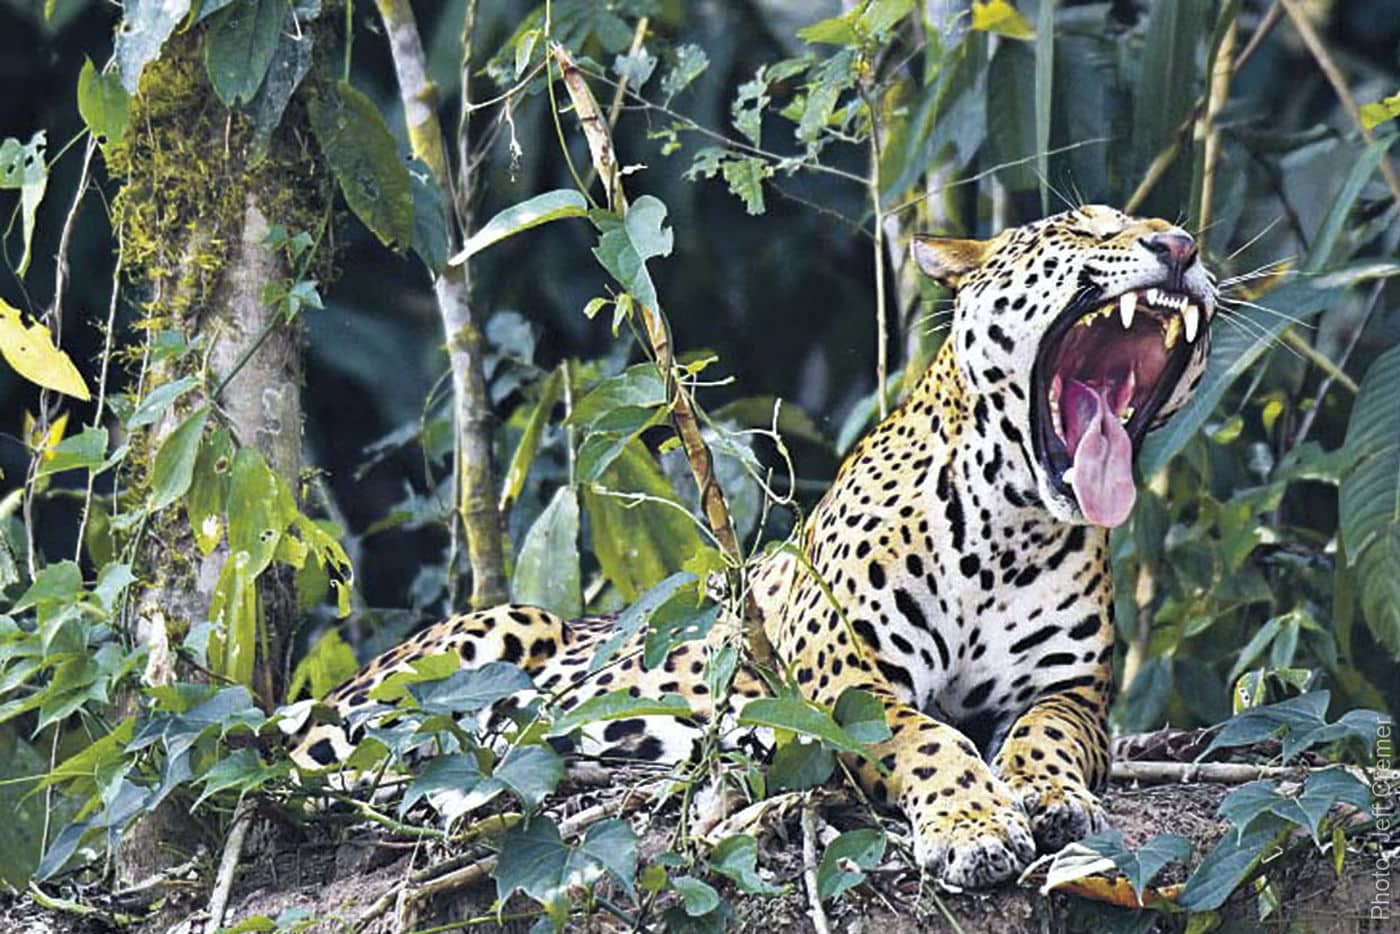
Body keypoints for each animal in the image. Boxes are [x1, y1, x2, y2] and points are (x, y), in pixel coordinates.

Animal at [290, 204, 1217, 888]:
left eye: (1171, 232)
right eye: (1085, 229)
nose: (1180, 246)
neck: (1008, 532)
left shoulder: (1072, 695)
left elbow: (1046, 736)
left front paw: (1046, 793)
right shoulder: (846, 690)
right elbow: (931, 742)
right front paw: (973, 825)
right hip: (483, 642)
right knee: (317, 756)